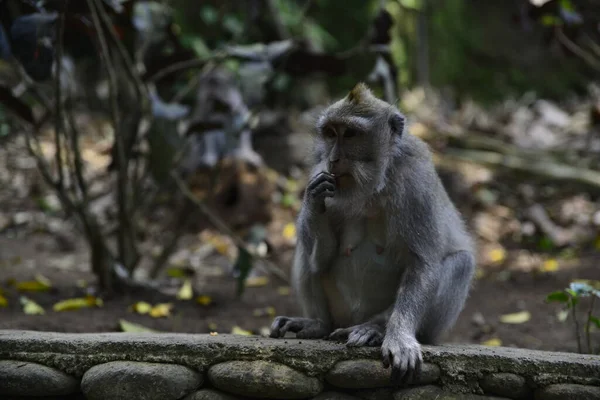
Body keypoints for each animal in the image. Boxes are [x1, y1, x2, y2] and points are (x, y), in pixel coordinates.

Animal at [270, 83, 476, 386]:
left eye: (350, 134)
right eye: (330, 132)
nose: (334, 159)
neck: (373, 185)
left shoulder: (416, 182)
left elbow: (423, 263)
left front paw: (399, 337)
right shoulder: (320, 172)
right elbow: (320, 258)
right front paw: (313, 200)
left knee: (461, 261)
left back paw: (375, 329)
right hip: (340, 312)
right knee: (306, 255)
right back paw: (318, 325)